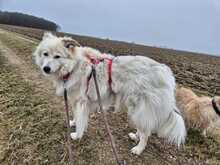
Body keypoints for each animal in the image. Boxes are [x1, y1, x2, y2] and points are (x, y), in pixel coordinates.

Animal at [33, 33, 186, 155]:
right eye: (45, 54)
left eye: (57, 56)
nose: (46, 68)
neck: (75, 65)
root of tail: (167, 74)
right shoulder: (75, 100)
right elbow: (76, 116)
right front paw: (72, 123)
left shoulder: (82, 101)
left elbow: (81, 120)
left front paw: (77, 135)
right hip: (140, 109)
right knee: (144, 127)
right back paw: (135, 136)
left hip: (139, 107)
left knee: (146, 132)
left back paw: (138, 149)